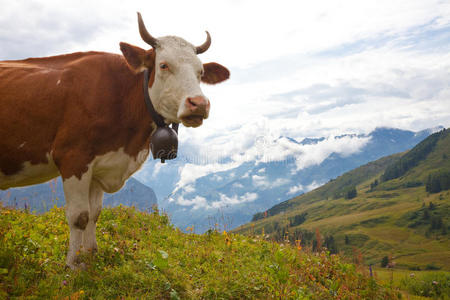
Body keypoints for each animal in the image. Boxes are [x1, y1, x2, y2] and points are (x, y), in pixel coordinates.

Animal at [0, 12, 230, 268]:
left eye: (201, 72)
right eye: (164, 65)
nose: (199, 104)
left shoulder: (99, 165)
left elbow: (94, 213)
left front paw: (91, 256)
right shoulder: (73, 158)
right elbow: (79, 216)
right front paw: (72, 265)